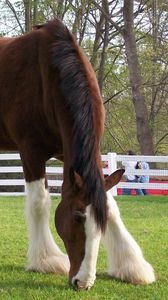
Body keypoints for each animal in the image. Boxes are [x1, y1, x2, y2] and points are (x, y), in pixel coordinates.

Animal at [0, 19, 155, 290]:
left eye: (100, 225)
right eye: (77, 218)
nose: (83, 282)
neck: (47, 76)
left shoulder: (71, 155)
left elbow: (110, 205)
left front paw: (132, 266)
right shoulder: (31, 152)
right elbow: (39, 203)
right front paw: (46, 260)